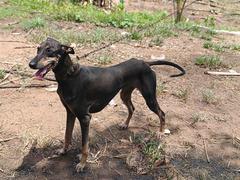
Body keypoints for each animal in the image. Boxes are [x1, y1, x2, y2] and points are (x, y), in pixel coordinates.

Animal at [28, 37, 186, 172]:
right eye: (38, 49)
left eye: (49, 50)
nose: (31, 64)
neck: (69, 75)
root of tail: (144, 63)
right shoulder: (70, 112)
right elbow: (67, 135)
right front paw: (63, 151)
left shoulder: (85, 118)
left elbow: (84, 147)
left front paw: (82, 164)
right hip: (124, 94)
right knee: (132, 108)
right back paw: (125, 124)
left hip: (149, 98)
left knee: (161, 113)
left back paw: (161, 133)